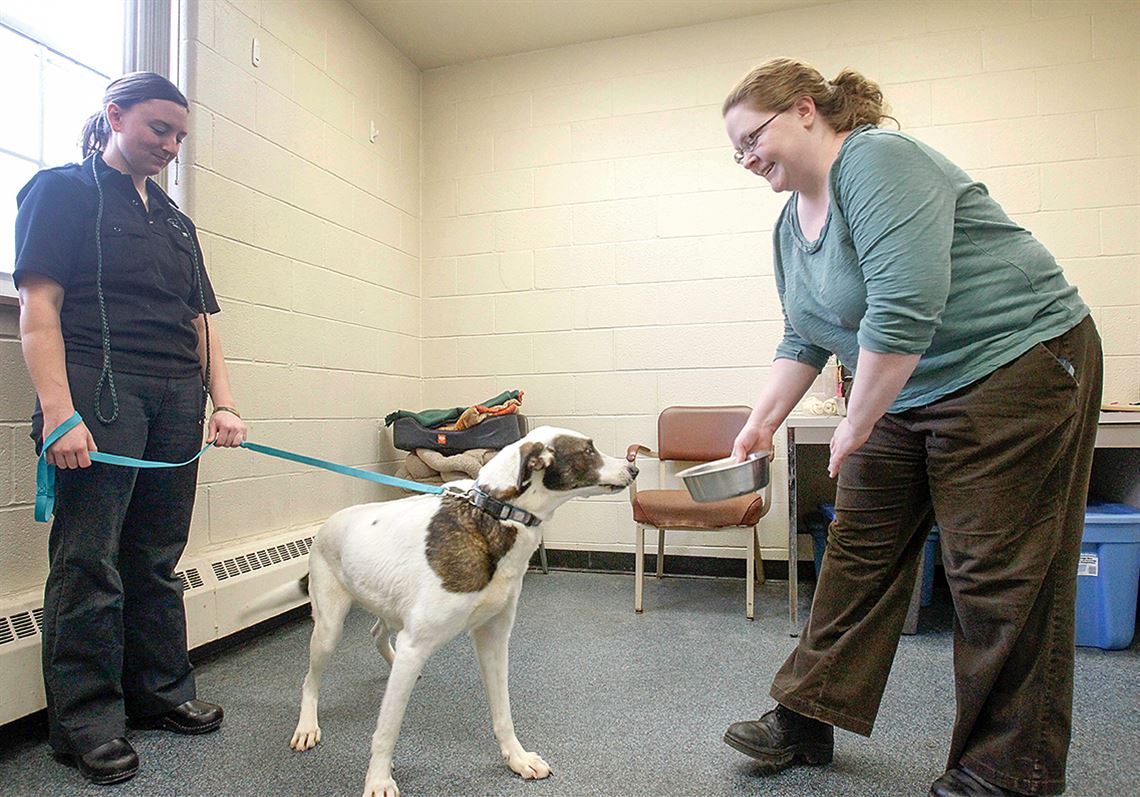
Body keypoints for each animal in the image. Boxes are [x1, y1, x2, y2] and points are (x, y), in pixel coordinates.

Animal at [288, 426, 638, 797]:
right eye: (588, 451)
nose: (634, 468)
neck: (494, 514)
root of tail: (326, 525)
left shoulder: (493, 638)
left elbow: (503, 713)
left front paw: (516, 758)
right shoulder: (416, 644)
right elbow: (387, 729)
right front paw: (379, 779)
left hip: (388, 605)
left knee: (377, 633)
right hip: (329, 628)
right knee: (310, 680)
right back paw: (307, 725)